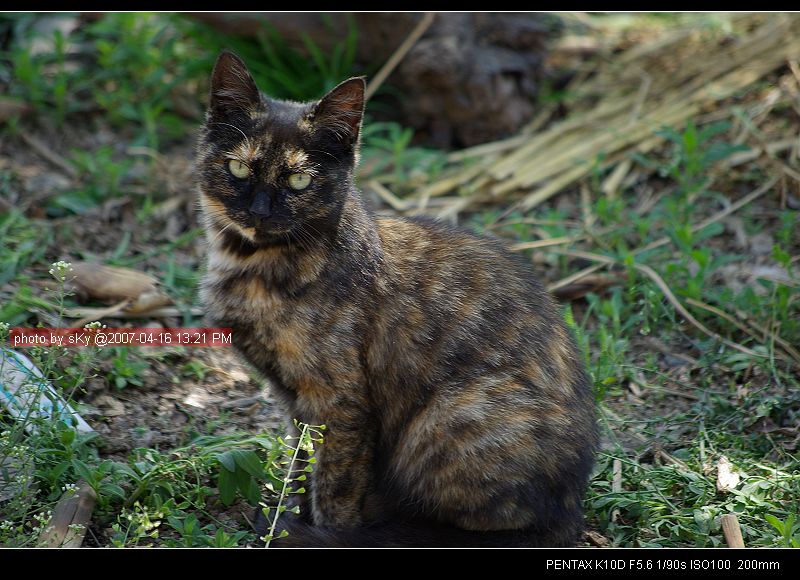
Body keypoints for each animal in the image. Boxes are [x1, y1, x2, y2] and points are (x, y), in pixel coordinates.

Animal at [197, 51, 596, 548]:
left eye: (299, 179)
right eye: (238, 169)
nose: (260, 211)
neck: (252, 265)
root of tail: (572, 509)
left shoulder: (340, 399)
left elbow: (333, 486)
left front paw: (318, 533)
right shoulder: (293, 399)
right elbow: (300, 467)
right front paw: (290, 516)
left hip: (453, 413)